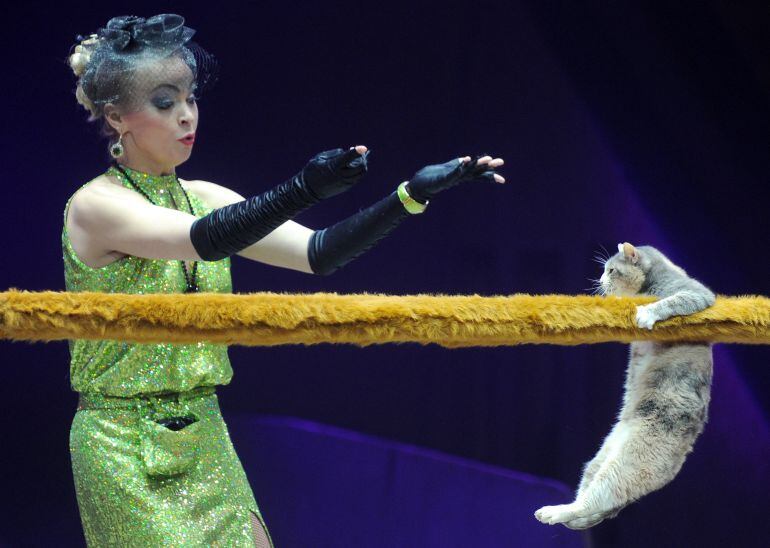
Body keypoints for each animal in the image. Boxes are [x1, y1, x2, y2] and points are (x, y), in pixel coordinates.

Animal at [536, 242, 712, 528]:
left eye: (610, 270)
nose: (599, 281)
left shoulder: (695, 292)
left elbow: (672, 301)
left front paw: (647, 314)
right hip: (599, 459)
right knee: (586, 496)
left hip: (625, 465)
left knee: (591, 502)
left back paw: (554, 512)